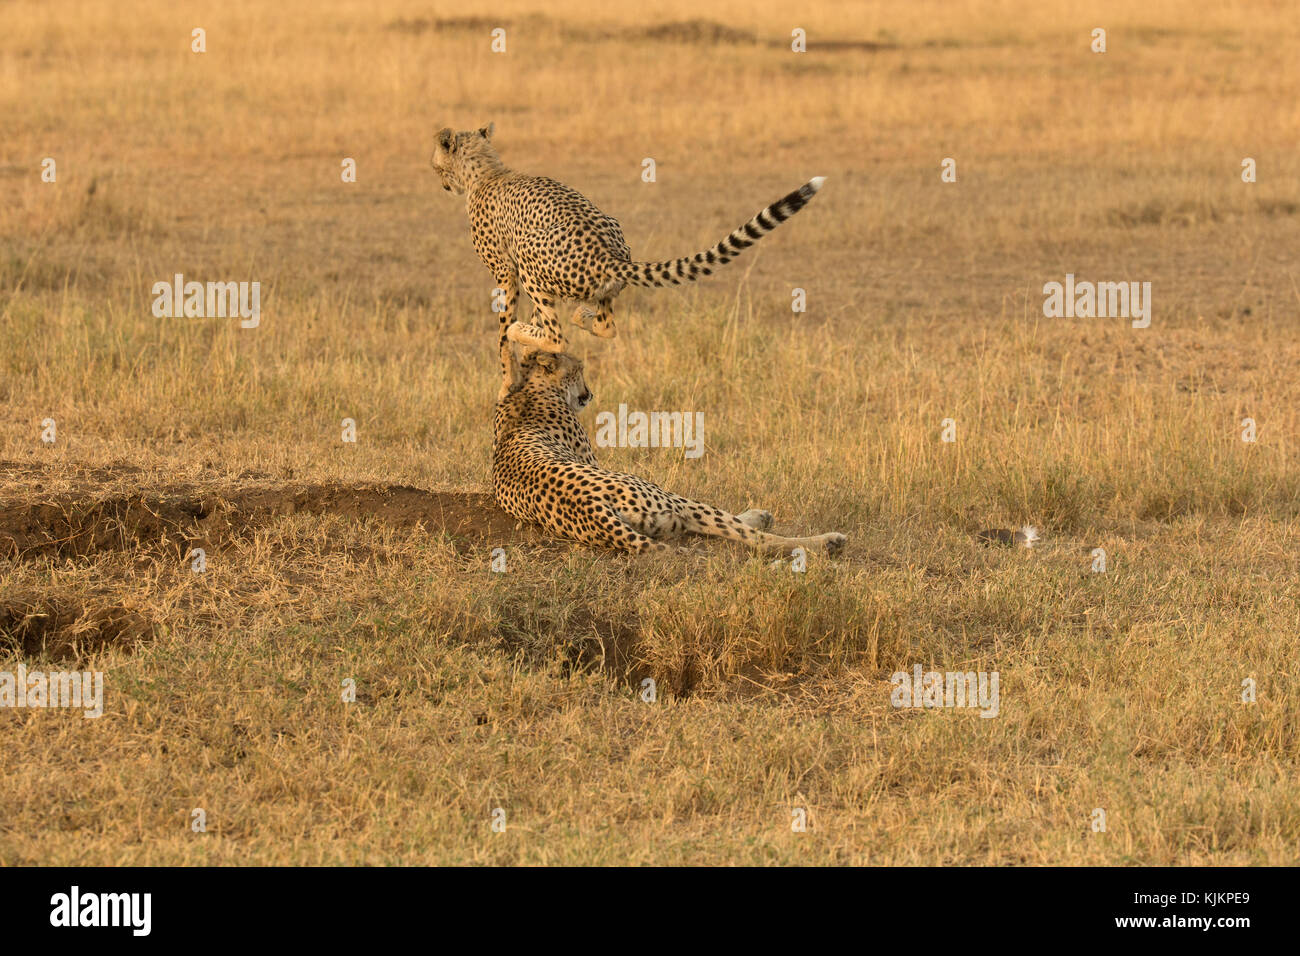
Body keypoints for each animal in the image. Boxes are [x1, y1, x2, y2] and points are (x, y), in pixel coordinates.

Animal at [431, 123, 826, 392]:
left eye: (436, 166)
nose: (441, 183)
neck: (488, 172)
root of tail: (610, 254)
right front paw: (529, 352)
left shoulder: (505, 273)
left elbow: (503, 330)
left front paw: (508, 375)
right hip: (597, 264)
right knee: (604, 326)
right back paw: (579, 317)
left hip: (530, 261)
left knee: (559, 335)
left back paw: (533, 331)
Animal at [491, 345, 847, 556]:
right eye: (578, 370)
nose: (589, 393)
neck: (530, 386)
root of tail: (591, 507)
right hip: (673, 501)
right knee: (754, 537)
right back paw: (825, 540)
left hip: (658, 522)